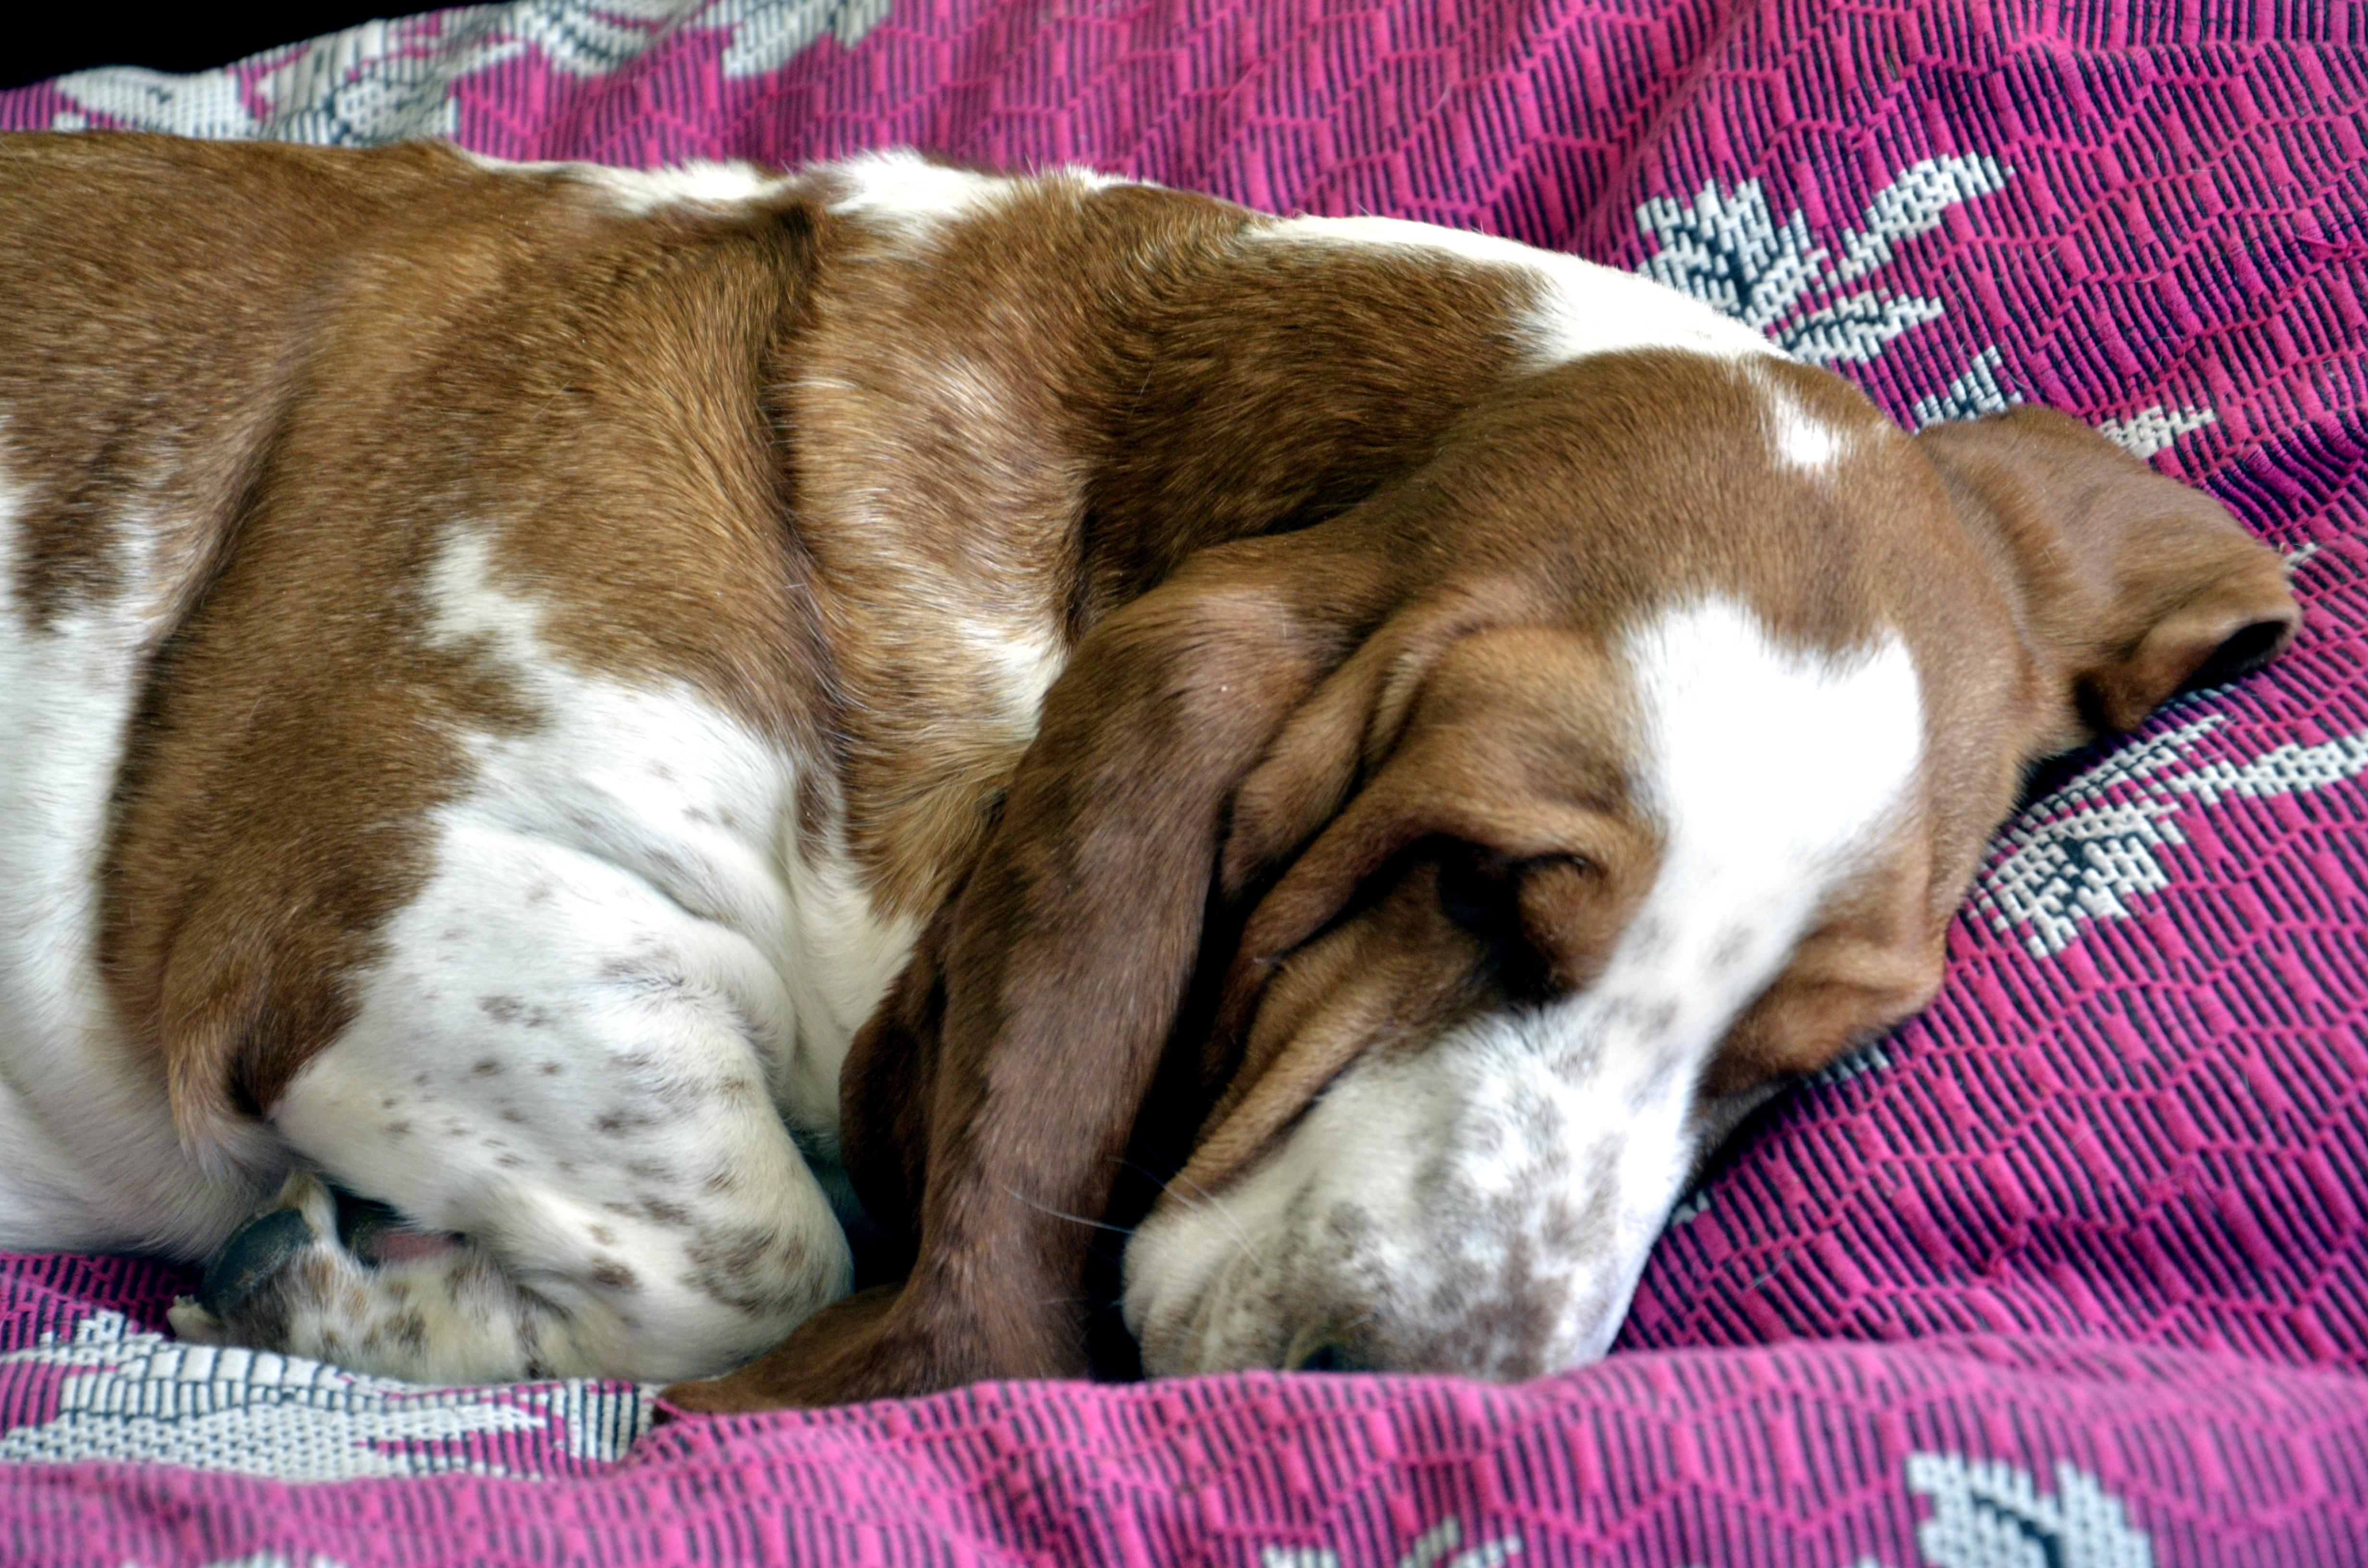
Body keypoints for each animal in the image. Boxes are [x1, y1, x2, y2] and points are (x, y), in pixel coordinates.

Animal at [0, 138, 2292, 1411]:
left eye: (1791, 1057)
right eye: (1470, 883)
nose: (1423, 1403)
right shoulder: (382, 902)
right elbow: (762, 1256)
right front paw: (335, 1291)